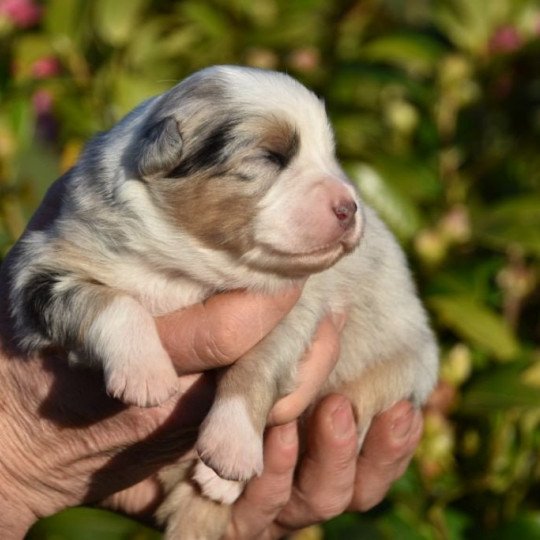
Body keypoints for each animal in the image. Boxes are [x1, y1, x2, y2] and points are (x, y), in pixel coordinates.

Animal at [7, 65, 438, 536]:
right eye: (271, 157)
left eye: (330, 156)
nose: (351, 207)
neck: (190, 265)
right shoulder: (41, 268)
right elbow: (113, 302)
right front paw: (146, 374)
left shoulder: (292, 308)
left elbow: (257, 365)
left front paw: (231, 446)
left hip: (392, 378)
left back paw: (218, 484)